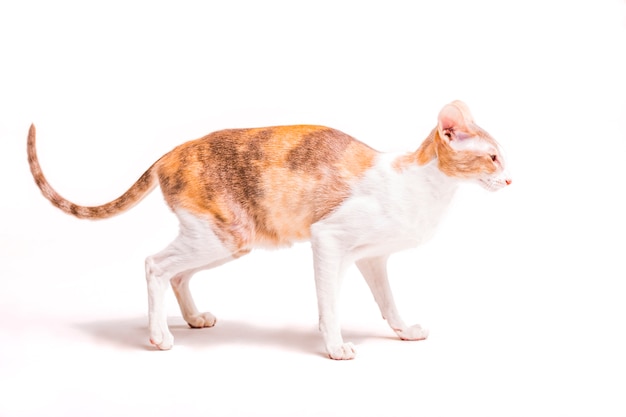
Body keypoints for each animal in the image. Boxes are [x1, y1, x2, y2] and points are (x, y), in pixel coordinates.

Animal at [26, 100, 510, 358]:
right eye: (493, 158)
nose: (510, 181)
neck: (426, 189)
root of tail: (171, 152)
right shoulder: (328, 241)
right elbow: (329, 305)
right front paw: (335, 347)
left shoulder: (372, 257)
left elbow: (388, 302)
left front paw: (403, 331)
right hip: (225, 234)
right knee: (155, 265)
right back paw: (160, 336)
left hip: (227, 240)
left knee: (177, 275)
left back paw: (193, 319)